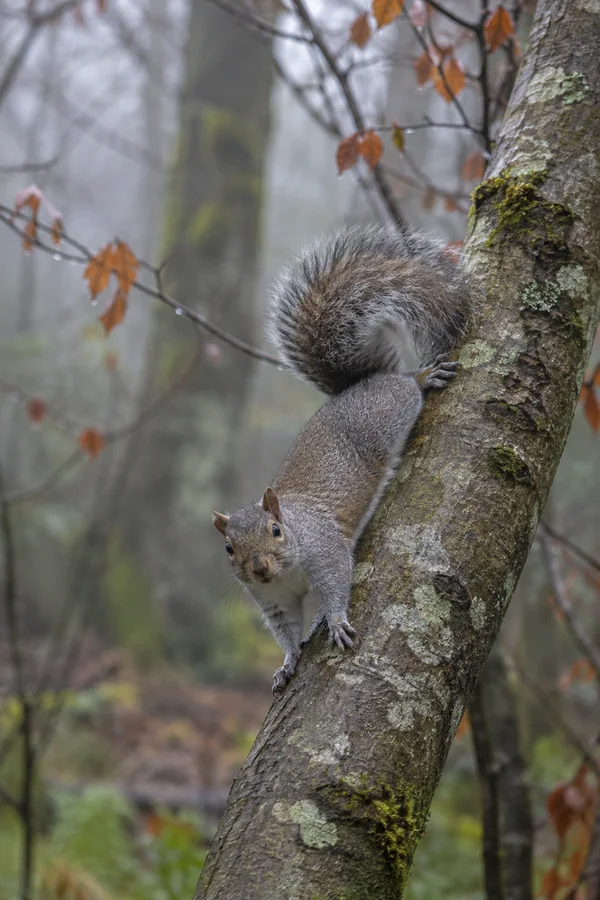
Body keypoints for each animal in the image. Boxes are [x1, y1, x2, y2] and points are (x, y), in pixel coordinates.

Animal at [212, 224, 473, 695]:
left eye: (276, 530)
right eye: (228, 548)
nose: (259, 568)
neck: (286, 569)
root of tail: (365, 382)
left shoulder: (325, 549)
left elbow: (336, 585)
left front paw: (334, 623)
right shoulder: (273, 601)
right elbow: (285, 630)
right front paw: (287, 663)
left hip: (389, 411)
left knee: (406, 385)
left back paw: (424, 376)